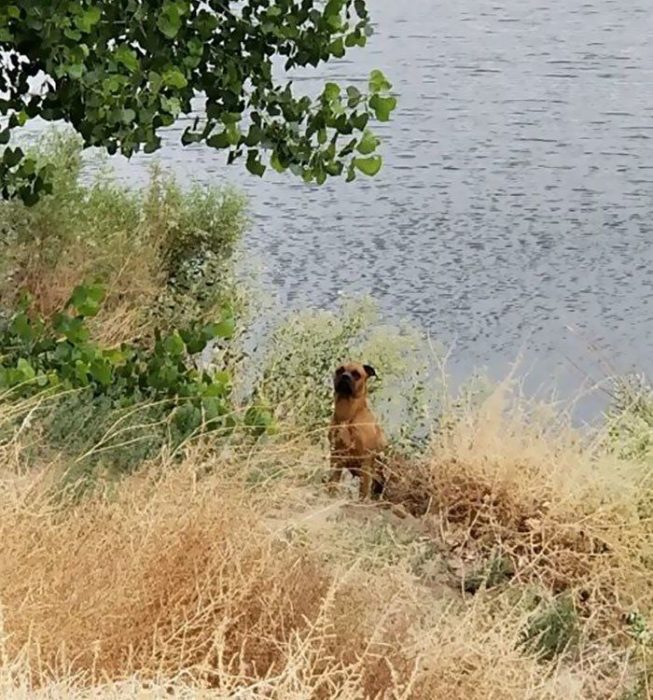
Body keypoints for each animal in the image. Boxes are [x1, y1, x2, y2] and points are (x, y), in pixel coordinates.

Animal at [326, 360, 388, 498]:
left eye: (356, 374)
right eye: (340, 370)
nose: (345, 377)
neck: (348, 415)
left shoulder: (366, 461)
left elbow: (364, 490)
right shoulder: (336, 455)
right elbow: (333, 480)